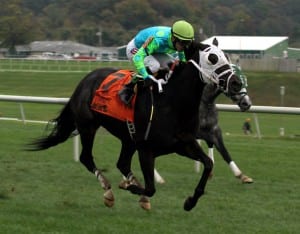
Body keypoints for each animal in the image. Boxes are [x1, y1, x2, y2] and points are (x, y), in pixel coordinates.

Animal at [28, 41, 243, 211]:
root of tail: (86, 79)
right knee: (87, 158)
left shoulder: (184, 144)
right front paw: (130, 187)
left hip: (128, 138)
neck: (172, 102)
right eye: (212, 58)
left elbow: (208, 164)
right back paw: (109, 191)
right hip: (88, 126)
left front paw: (190, 202)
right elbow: (151, 188)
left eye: (226, 55)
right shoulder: (147, 149)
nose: (236, 83)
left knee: (122, 163)